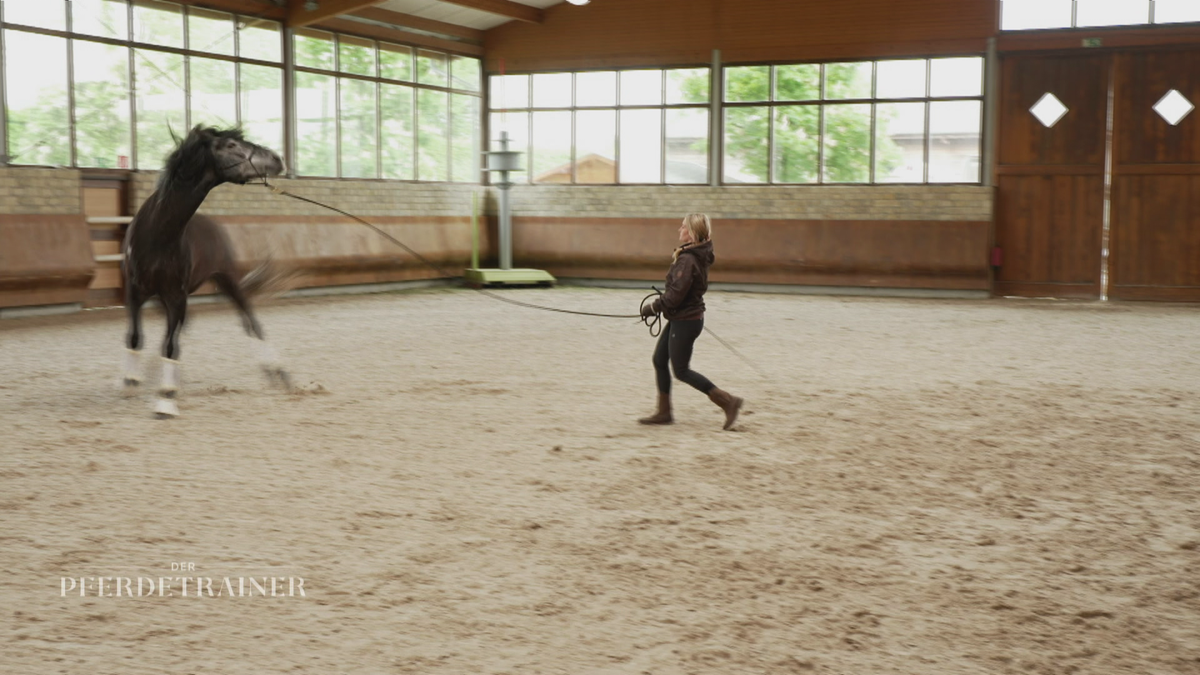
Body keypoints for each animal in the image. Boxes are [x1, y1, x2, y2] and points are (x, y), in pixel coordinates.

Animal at [118, 123, 288, 413]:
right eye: (231, 145)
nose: (277, 159)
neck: (157, 235)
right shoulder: (135, 292)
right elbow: (135, 337)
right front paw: (131, 380)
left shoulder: (176, 296)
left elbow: (170, 346)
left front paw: (165, 399)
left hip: (227, 280)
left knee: (250, 322)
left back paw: (277, 370)